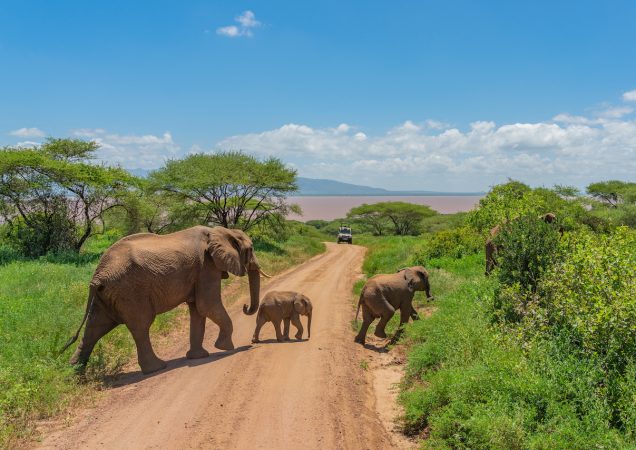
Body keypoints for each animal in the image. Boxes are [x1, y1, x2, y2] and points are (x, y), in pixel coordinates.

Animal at [61, 225, 266, 372]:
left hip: (106, 295)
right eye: (251, 249)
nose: (245, 306)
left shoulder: (201, 270)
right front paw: (226, 348)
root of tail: (97, 276)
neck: (221, 231)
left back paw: (74, 374)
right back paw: (156, 368)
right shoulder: (206, 266)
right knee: (141, 326)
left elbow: (198, 310)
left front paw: (199, 357)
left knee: (95, 327)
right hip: (130, 292)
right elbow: (207, 305)